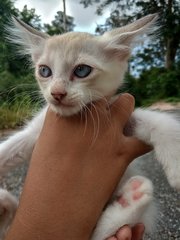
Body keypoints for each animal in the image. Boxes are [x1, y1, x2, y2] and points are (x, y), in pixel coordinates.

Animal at [0, 14, 179, 239]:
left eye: (82, 70)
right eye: (44, 71)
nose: (57, 93)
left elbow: (159, 122)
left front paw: (177, 165)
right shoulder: (34, 132)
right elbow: (9, 149)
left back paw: (130, 200)